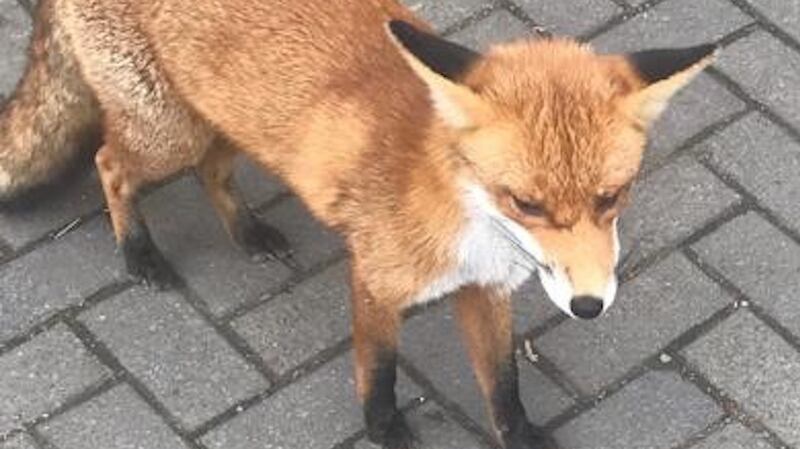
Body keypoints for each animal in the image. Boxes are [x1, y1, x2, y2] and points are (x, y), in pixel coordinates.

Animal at [0, 0, 716, 447]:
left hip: (224, 124)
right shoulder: (376, 278)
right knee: (109, 163)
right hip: (168, 134)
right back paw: (140, 252)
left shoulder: (484, 290)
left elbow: (504, 386)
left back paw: (248, 232)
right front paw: (384, 429)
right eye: (527, 203)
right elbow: (380, 368)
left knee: (211, 172)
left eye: (611, 196)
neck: (467, 221)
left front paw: (523, 436)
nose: (589, 305)